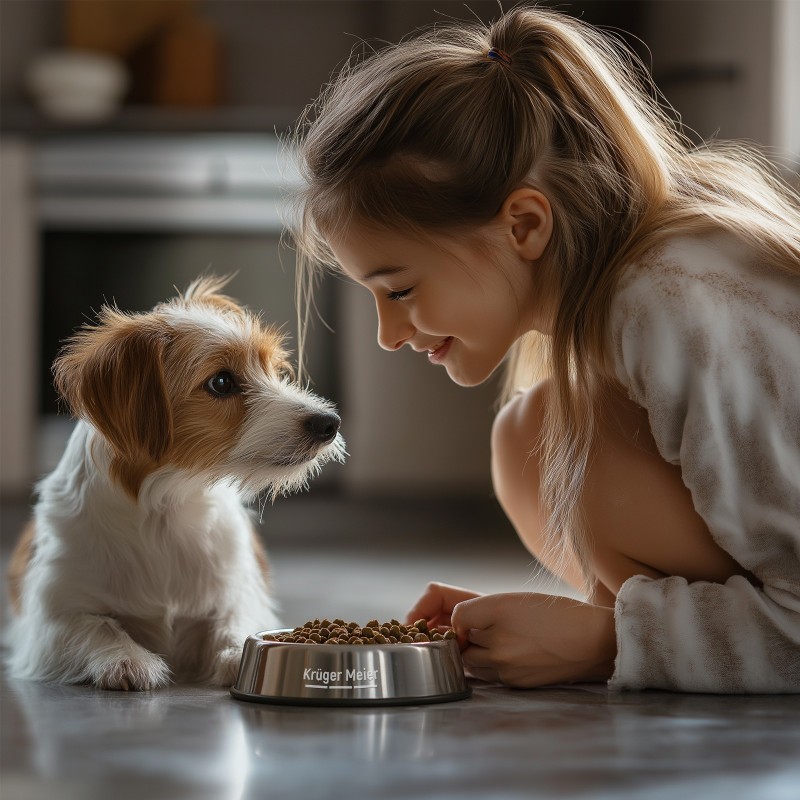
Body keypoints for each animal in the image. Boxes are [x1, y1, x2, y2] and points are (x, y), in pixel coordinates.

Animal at [5, 278, 344, 692]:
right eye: (221, 382)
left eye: (275, 368)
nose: (329, 423)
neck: (169, 504)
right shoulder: (52, 616)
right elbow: (97, 627)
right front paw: (126, 658)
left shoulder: (236, 594)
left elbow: (235, 623)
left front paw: (239, 653)